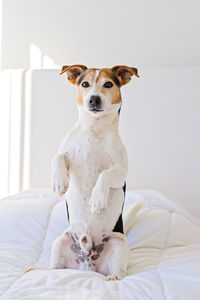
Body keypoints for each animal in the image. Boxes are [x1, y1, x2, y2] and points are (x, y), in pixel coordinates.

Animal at [50, 64, 139, 280]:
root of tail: (87, 265)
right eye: (85, 84)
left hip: (118, 244)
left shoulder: (120, 171)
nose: (93, 99)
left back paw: (113, 277)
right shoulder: (67, 154)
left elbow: (104, 175)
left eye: (108, 84)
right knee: (55, 268)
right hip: (60, 241)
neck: (93, 128)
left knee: (120, 271)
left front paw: (97, 198)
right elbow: (57, 157)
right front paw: (59, 181)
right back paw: (39, 270)